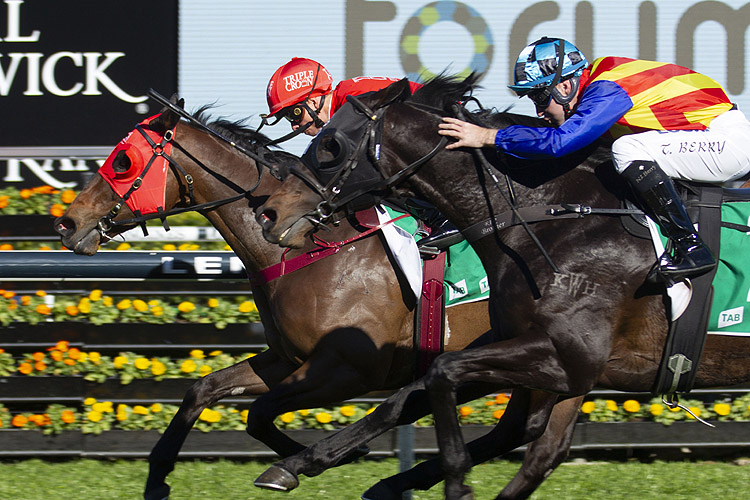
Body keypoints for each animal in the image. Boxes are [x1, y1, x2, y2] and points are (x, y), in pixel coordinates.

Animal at [53, 98, 588, 500]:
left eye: (122, 161)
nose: (67, 224)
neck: (305, 247)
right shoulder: (289, 358)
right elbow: (205, 389)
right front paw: (158, 477)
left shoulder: (348, 370)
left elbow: (258, 411)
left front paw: (305, 461)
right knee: (524, 432)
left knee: (525, 432)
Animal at [254, 75, 750, 500]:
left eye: (331, 146)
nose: (269, 214)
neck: (555, 214)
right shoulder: (540, 352)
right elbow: (405, 399)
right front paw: (302, 463)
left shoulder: (567, 357)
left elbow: (441, 374)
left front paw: (454, 480)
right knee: (538, 448)